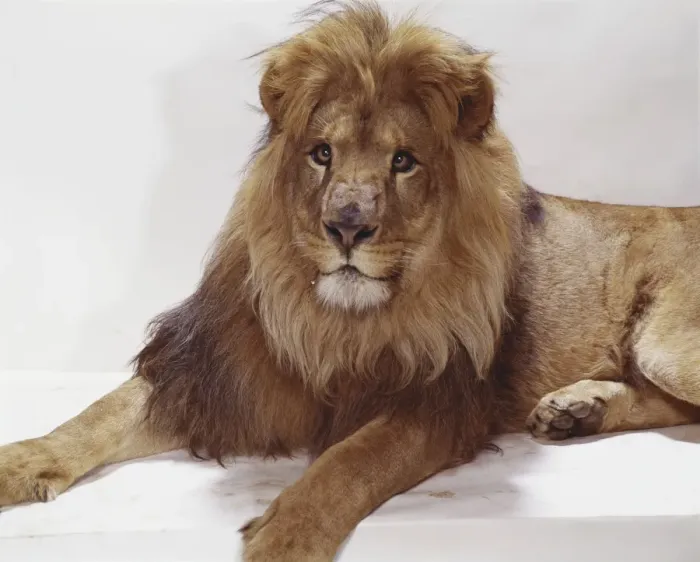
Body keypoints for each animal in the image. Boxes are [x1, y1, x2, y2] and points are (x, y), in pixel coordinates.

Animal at [0, 3, 698, 561]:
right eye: (322, 154)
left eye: (403, 162)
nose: (345, 227)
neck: (331, 319)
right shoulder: (212, 373)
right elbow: (97, 414)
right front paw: (23, 459)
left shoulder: (435, 403)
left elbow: (350, 462)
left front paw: (284, 538)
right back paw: (576, 410)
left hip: (665, 344)